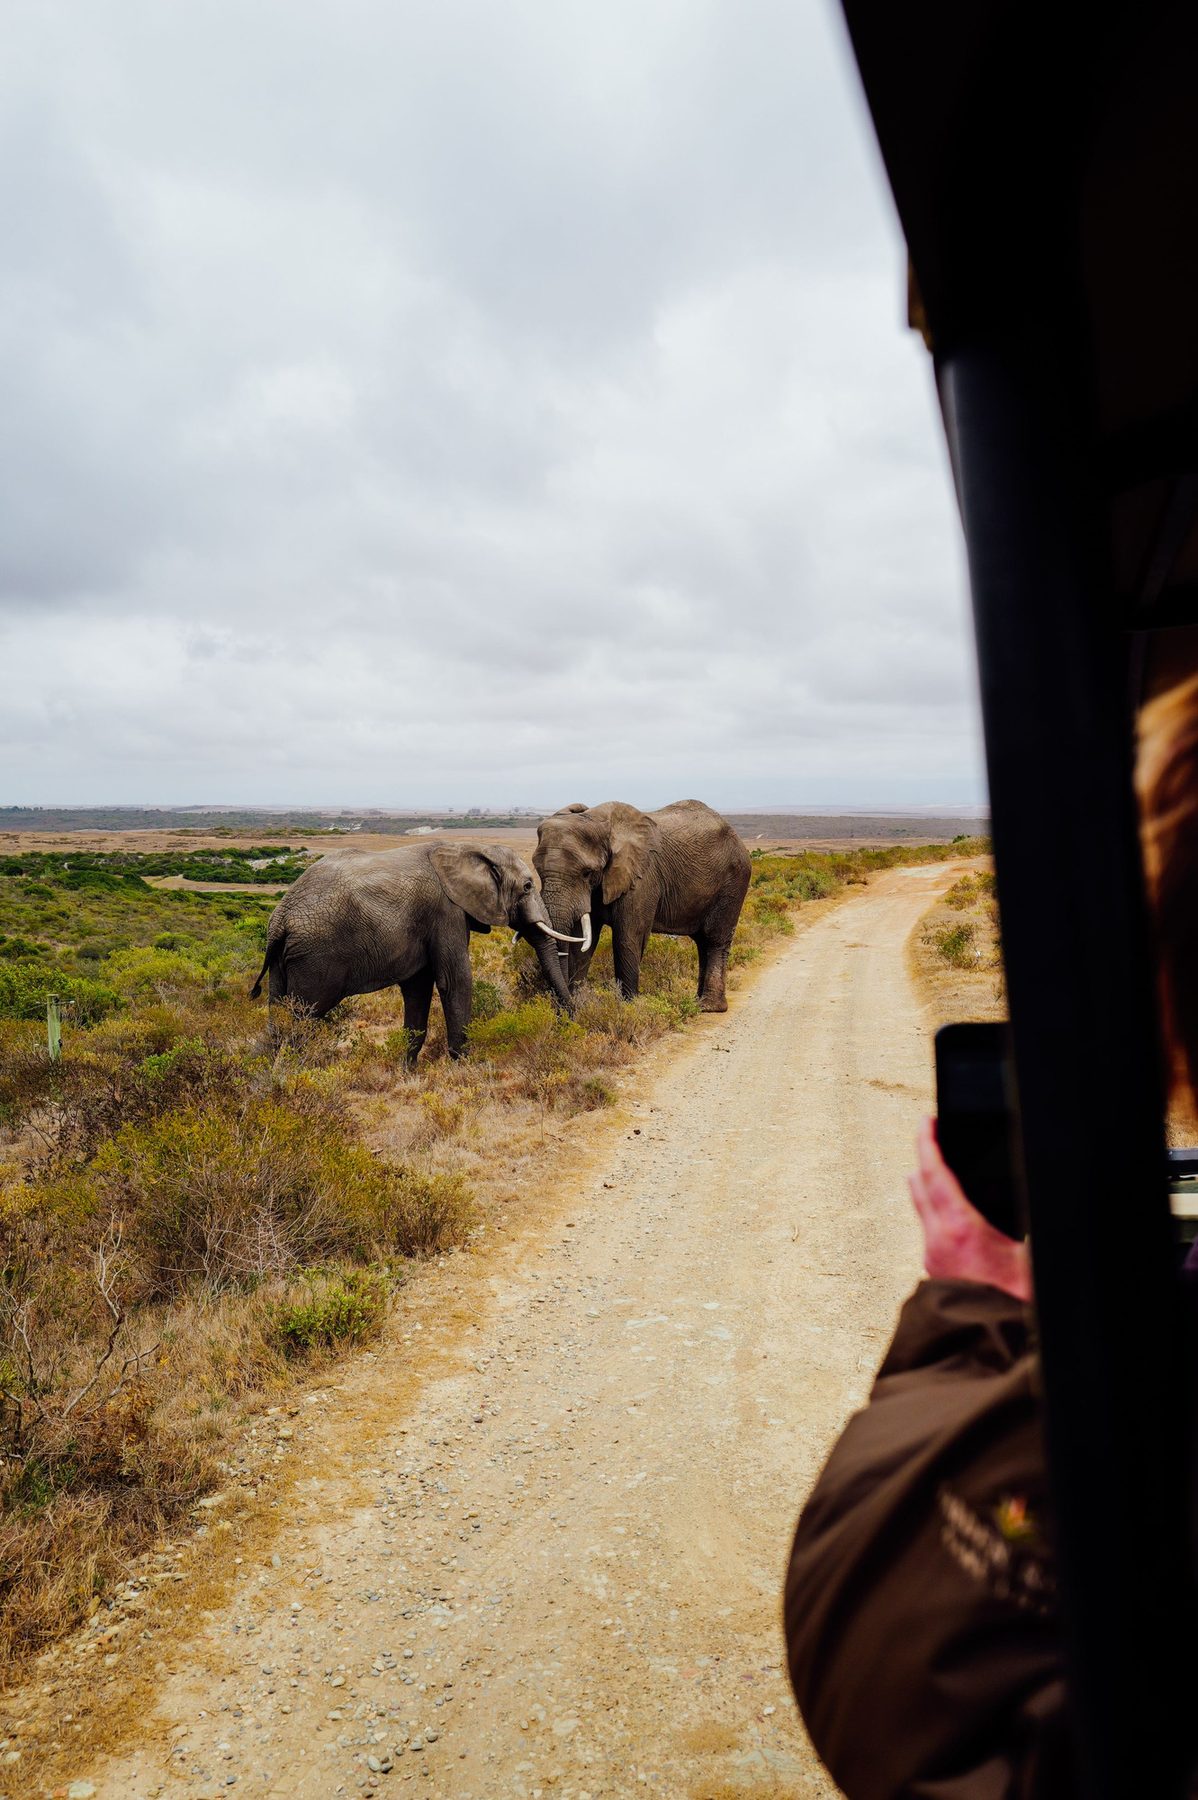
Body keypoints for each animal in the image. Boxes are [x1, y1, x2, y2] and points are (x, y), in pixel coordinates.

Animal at [249, 840, 580, 1062]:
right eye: (528, 886)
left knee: (278, 1014)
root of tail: (280, 920)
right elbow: (455, 981)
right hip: (315, 957)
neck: (469, 848)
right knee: (301, 1018)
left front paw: (407, 1071)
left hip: (284, 960)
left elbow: (418, 989)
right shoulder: (445, 911)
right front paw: (466, 1067)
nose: (570, 1024)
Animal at [533, 799, 752, 1011]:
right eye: (537, 870)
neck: (599, 822)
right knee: (702, 941)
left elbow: (628, 937)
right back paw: (698, 1001)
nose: (564, 1010)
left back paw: (708, 1006)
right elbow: (582, 941)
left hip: (734, 882)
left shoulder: (643, 878)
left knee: (715, 939)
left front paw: (629, 1008)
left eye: (586, 873)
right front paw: (580, 1007)